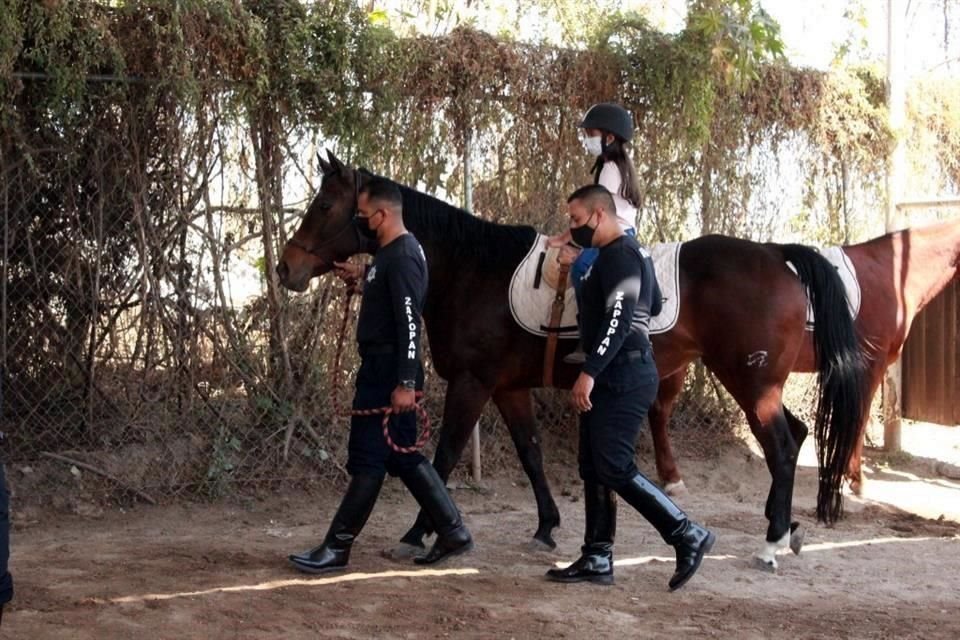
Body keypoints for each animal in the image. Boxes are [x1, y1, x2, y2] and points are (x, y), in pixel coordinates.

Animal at [276, 154, 872, 568]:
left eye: (324, 207)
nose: (285, 268)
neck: (471, 268)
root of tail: (775, 254)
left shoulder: (472, 383)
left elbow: (442, 458)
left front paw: (419, 534)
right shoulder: (508, 387)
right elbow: (531, 453)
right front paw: (547, 527)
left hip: (750, 383)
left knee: (781, 448)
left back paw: (771, 542)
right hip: (759, 383)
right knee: (793, 437)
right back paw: (787, 530)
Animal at [644, 219, 960, 500]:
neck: (890, 273)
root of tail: (774, 254)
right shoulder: (871, 365)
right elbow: (858, 420)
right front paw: (855, 479)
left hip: (685, 363)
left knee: (659, 410)